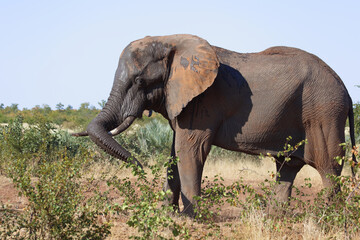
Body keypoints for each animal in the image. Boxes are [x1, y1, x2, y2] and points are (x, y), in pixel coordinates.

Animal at [72, 33, 354, 216]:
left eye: (140, 81)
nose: (140, 166)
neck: (170, 42)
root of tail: (348, 92)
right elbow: (175, 153)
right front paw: (166, 215)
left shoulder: (203, 101)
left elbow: (189, 150)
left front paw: (190, 218)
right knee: (287, 166)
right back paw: (272, 217)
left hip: (324, 112)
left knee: (328, 167)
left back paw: (330, 218)